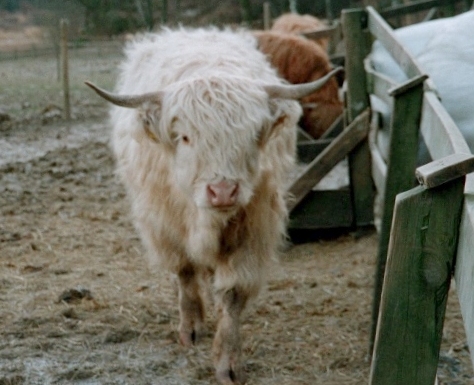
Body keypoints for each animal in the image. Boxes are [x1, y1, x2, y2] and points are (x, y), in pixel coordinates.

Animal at [86, 27, 340, 384]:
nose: (222, 192)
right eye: (185, 137)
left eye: (252, 135)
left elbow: (232, 295)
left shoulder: (254, 228)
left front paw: (228, 362)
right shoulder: (163, 225)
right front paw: (191, 328)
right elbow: (184, 272)